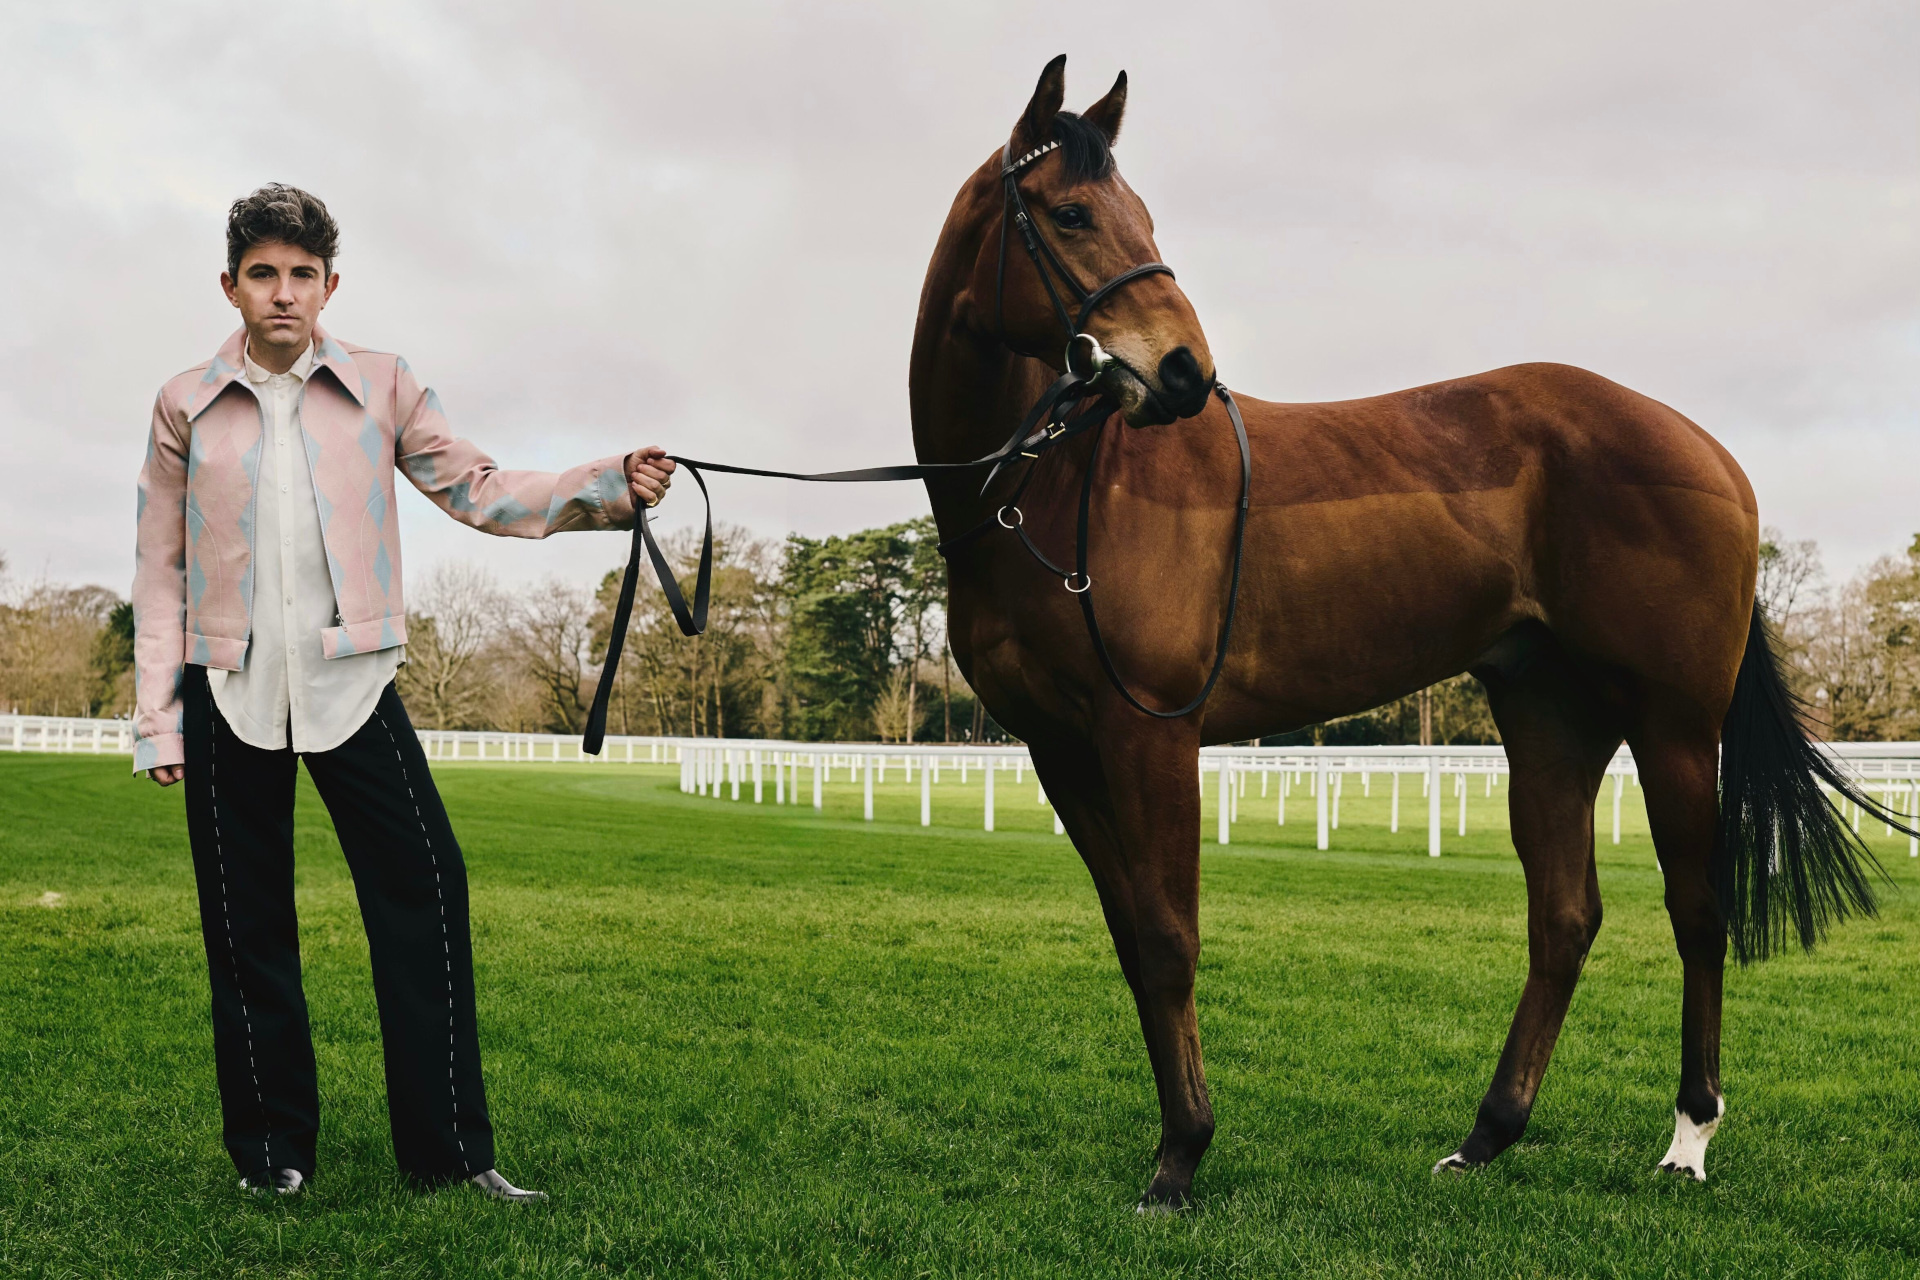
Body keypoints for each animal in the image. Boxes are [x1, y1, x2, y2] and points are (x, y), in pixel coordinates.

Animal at [913, 57, 1889, 1212]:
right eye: (1070, 213)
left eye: (1139, 213)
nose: (1187, 373)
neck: (1056, 487)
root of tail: (1709, 451)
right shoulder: (1062, 752)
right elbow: (1128, 938)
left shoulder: (1149, 735)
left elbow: (1166, 938)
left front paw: (1182, 1154)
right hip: (1550, 719)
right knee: (1565, 916)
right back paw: (1488, 1134)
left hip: (1678, 727)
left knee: (1697, 909)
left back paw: (1688, 1135)